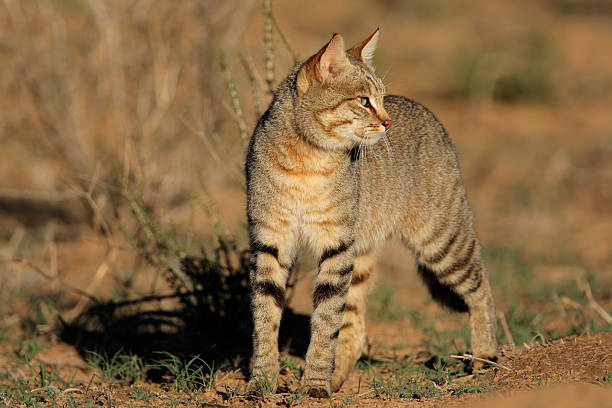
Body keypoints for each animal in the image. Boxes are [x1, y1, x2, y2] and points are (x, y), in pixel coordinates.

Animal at [245, 29, 498, 398]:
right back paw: (337, 379)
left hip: (441, 239)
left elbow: (325, 321)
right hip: (363, 252)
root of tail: (428, 112)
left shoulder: (335, 244)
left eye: (380, 97)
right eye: (364, 100)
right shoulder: (269, 242)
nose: (387, 121)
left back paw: (486, 356)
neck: (307, 160)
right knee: (356, 325)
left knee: (482, 287)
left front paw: (314, 384)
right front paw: (261, 381)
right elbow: (265, 320)